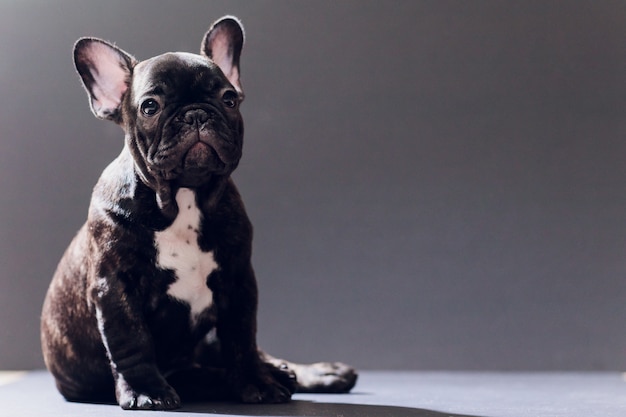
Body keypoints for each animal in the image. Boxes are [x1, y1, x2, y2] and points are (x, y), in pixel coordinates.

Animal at [41, 15, 356, 410]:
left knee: (252, 353)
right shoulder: (115, 285)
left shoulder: (238, 278)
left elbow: (242, 337)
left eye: (229, 98)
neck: (183, 198)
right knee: (194, 374)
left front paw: (256, 382)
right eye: (150, 106)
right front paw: (146, 390)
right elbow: (130, 340)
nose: (196, 113)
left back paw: (310, 372)